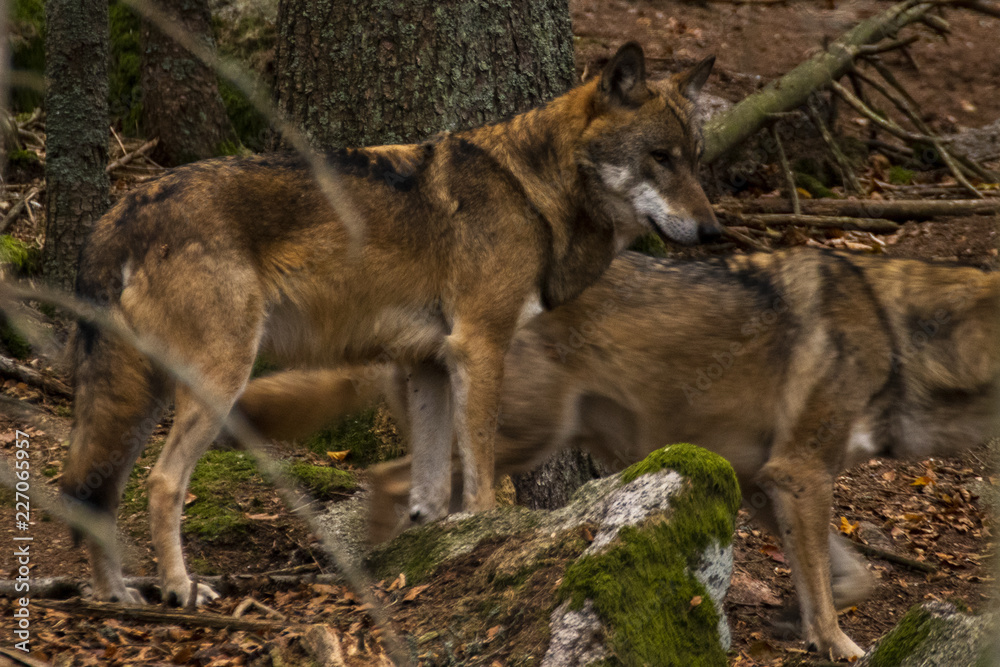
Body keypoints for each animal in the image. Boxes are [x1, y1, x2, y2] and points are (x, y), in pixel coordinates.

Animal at [60, 42, 723, 608]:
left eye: (695, 161)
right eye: (659, 158)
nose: (714, 231)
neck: (531, 192)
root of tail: (122, 210)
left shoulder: (428, 363)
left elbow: (428, 490)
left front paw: (429, 542)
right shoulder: (479, 346)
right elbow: (479, 472)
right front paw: (487, 531)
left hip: (140, 395)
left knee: (97, 490)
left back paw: (115, 593)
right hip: (217, 383)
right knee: (161, 484)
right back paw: (180, 589)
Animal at [237, 248, 1000, 660]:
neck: (903, 334)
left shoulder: (762, 480)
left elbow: (851, 577)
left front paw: (795, 619)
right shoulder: (800, 474)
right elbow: (830, 586)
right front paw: (837, 644)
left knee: (405, 487)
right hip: (527, 438)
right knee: (393, 481)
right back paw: (375, 575)